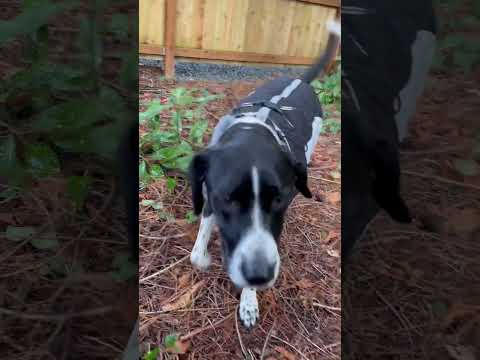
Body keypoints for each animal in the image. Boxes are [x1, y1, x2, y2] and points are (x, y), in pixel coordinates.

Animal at [188, 20, 342, 330]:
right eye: (228, 199)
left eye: (278, 199)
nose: (260, 274)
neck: (255, 128)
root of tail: (300, 81)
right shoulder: (210, 198)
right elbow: (197, 253)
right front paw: (205, 257)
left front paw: (248, 302)